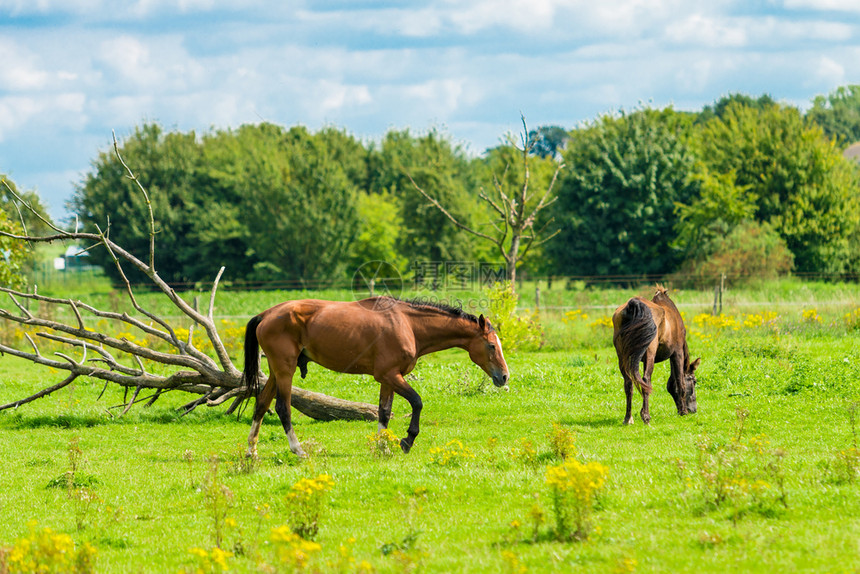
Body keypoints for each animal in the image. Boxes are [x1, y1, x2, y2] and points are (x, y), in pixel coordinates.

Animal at [240, 296, 510, 460]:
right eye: (491, 346)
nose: (505, 376)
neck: (407, 325)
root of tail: (266, 314)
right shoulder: (390, 375)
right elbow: (417, 402)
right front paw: (407, 440)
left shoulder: (387, 379)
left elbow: (383, 412)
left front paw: (382, 446)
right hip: (285, 370)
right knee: (283, 408)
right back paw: (298, 450)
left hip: (276, 372)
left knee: (261, 405)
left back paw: (252, 450)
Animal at [612, 286, 700, 426]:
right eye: (694, 381)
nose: (693, 410)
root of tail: (634, 305)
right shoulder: (677, 353)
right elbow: (680, 382)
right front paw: (683, 412)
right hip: (650, 354)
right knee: (646, 380)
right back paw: (646, 416)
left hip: (623, 357)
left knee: (629, 383)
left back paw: (628, 418)